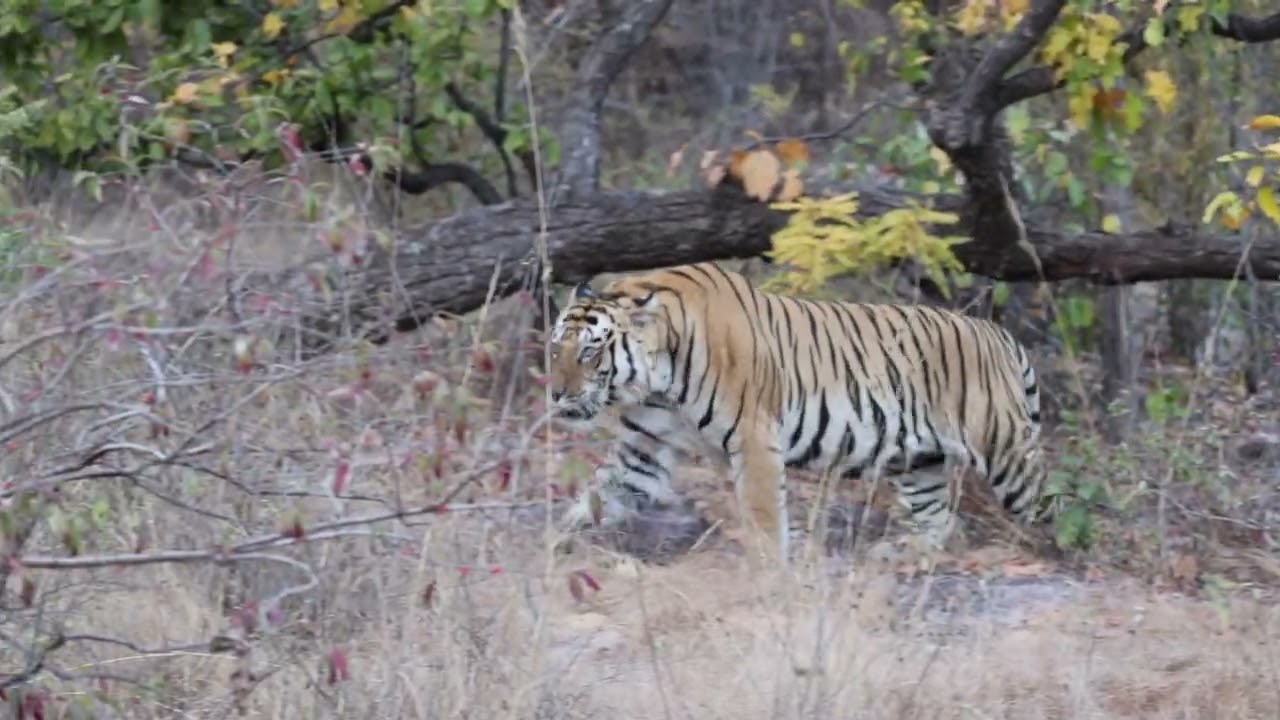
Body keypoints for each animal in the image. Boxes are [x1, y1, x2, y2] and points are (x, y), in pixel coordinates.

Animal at [546, 261, 1053, 563]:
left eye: (590, 351)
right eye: (555, 350)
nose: (555, 394)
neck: (657, 382)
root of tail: (997, 332)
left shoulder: (753, 440)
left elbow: (764, 514)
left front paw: (770, 573)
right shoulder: (645, 449)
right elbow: (600, 494)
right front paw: (558, 544)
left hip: (1005, 450)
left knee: (1047, 503)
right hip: (920, 461)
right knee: (942, 521)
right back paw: (903, 552)